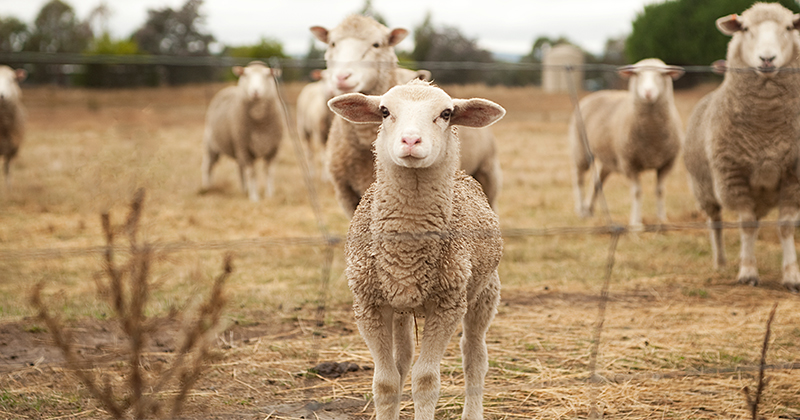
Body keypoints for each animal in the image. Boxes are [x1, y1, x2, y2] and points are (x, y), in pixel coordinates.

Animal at [202, 60, 282, 202]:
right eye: (246, 74)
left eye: (267, 75)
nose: (255, 91)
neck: (259, 122)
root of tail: (228, 88)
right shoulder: (245, 148)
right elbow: (252, 173)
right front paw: (254, 198)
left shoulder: (273, 149)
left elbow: (269, 172)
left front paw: (269, 195)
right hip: (212, 144)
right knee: (208, 165)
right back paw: (207, 188)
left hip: (236, 146)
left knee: (239, 168)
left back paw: (244, 189)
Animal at [326, 79, 504, 420]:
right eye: (384, 111)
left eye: (446, 114)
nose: (411, 140)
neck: (407, 250)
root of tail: (462, 174)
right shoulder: (368, 304)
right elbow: (385, 382)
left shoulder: (447, 305)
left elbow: (426, 381)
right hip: (399, 307)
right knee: (403, 358)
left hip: (485, 289)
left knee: (474, 356)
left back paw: (472, 410)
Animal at [564, 57, 684, 228]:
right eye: (637, 75)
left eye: (662, 75)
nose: (648, 93)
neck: (652, 136)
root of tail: (597, 93)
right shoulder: (629, 163)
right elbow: (637, 192)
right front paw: (636, 223)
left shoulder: (667, 163)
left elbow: (660, 190)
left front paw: (662, 219)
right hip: (581, 151)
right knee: (578, 178)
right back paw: (580, 210)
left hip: (609, 160)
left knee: (597, 181)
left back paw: (589, 210)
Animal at [680, 2, 800, 292]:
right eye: (745, 28)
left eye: (789, 27)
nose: (767, 59)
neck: (767, 127)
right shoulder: (733, 176)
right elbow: (746, 225)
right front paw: (747, 273)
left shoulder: (794, 177)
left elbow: (786, 227)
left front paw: (792, 276)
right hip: (704, 188)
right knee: (716, 224)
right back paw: (721, 263)